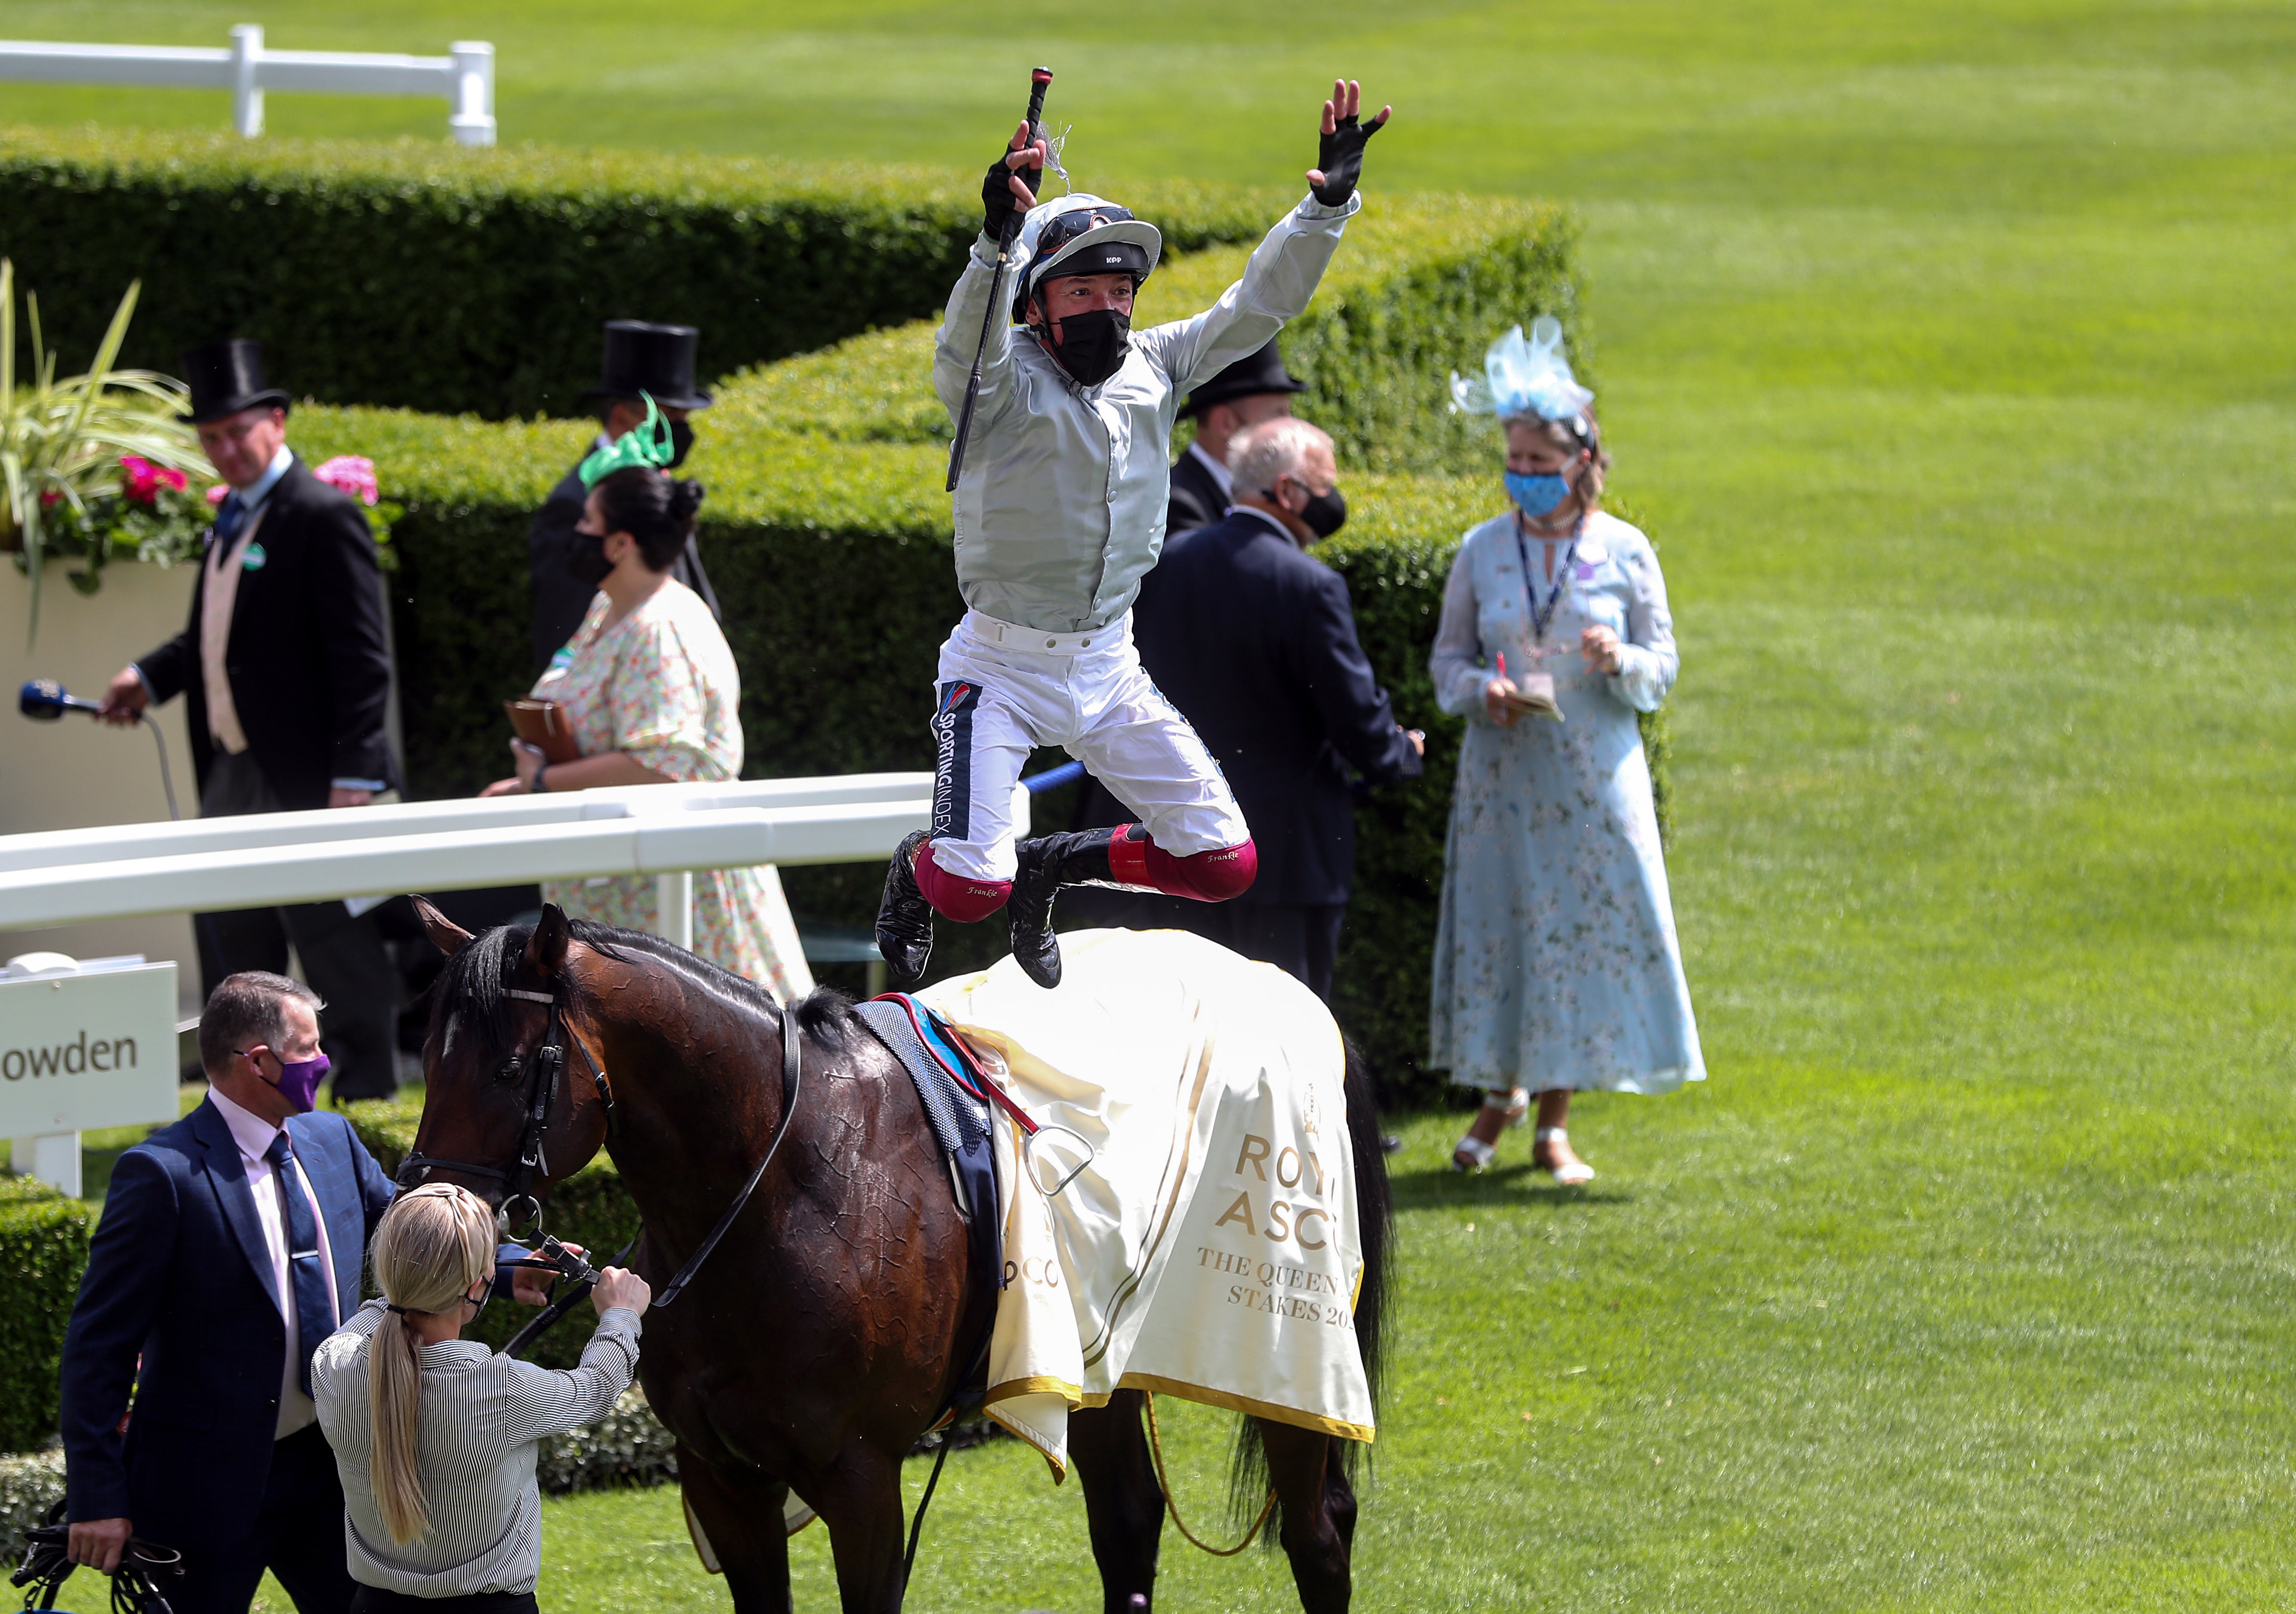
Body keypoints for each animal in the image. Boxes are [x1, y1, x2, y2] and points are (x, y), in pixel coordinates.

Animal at [404, 904, 1387, 1614]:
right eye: (426, 1059)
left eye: (507, 1069)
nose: (422, 1204)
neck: (785, 1187)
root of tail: (1285, 990)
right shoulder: (725, 1480)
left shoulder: (861, 1477)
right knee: (1128, 1521)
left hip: (1277, 1349)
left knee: (1317, 1532)